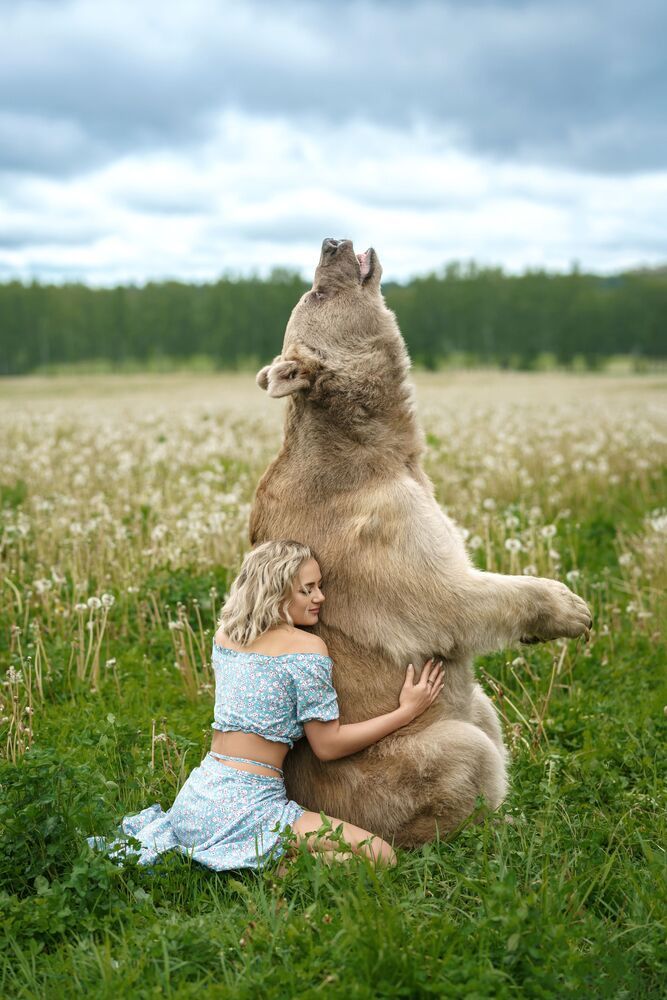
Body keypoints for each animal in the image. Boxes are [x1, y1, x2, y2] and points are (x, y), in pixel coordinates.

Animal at [250, 237, 592, 846]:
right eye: (316, 294)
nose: (332, 244)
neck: (374, 443)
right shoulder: (375, 524)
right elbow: (443, 597)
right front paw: (569, 608)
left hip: (460, 710)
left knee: (485, 713)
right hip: (390, 773)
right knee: (466, 752)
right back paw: (496, 824)